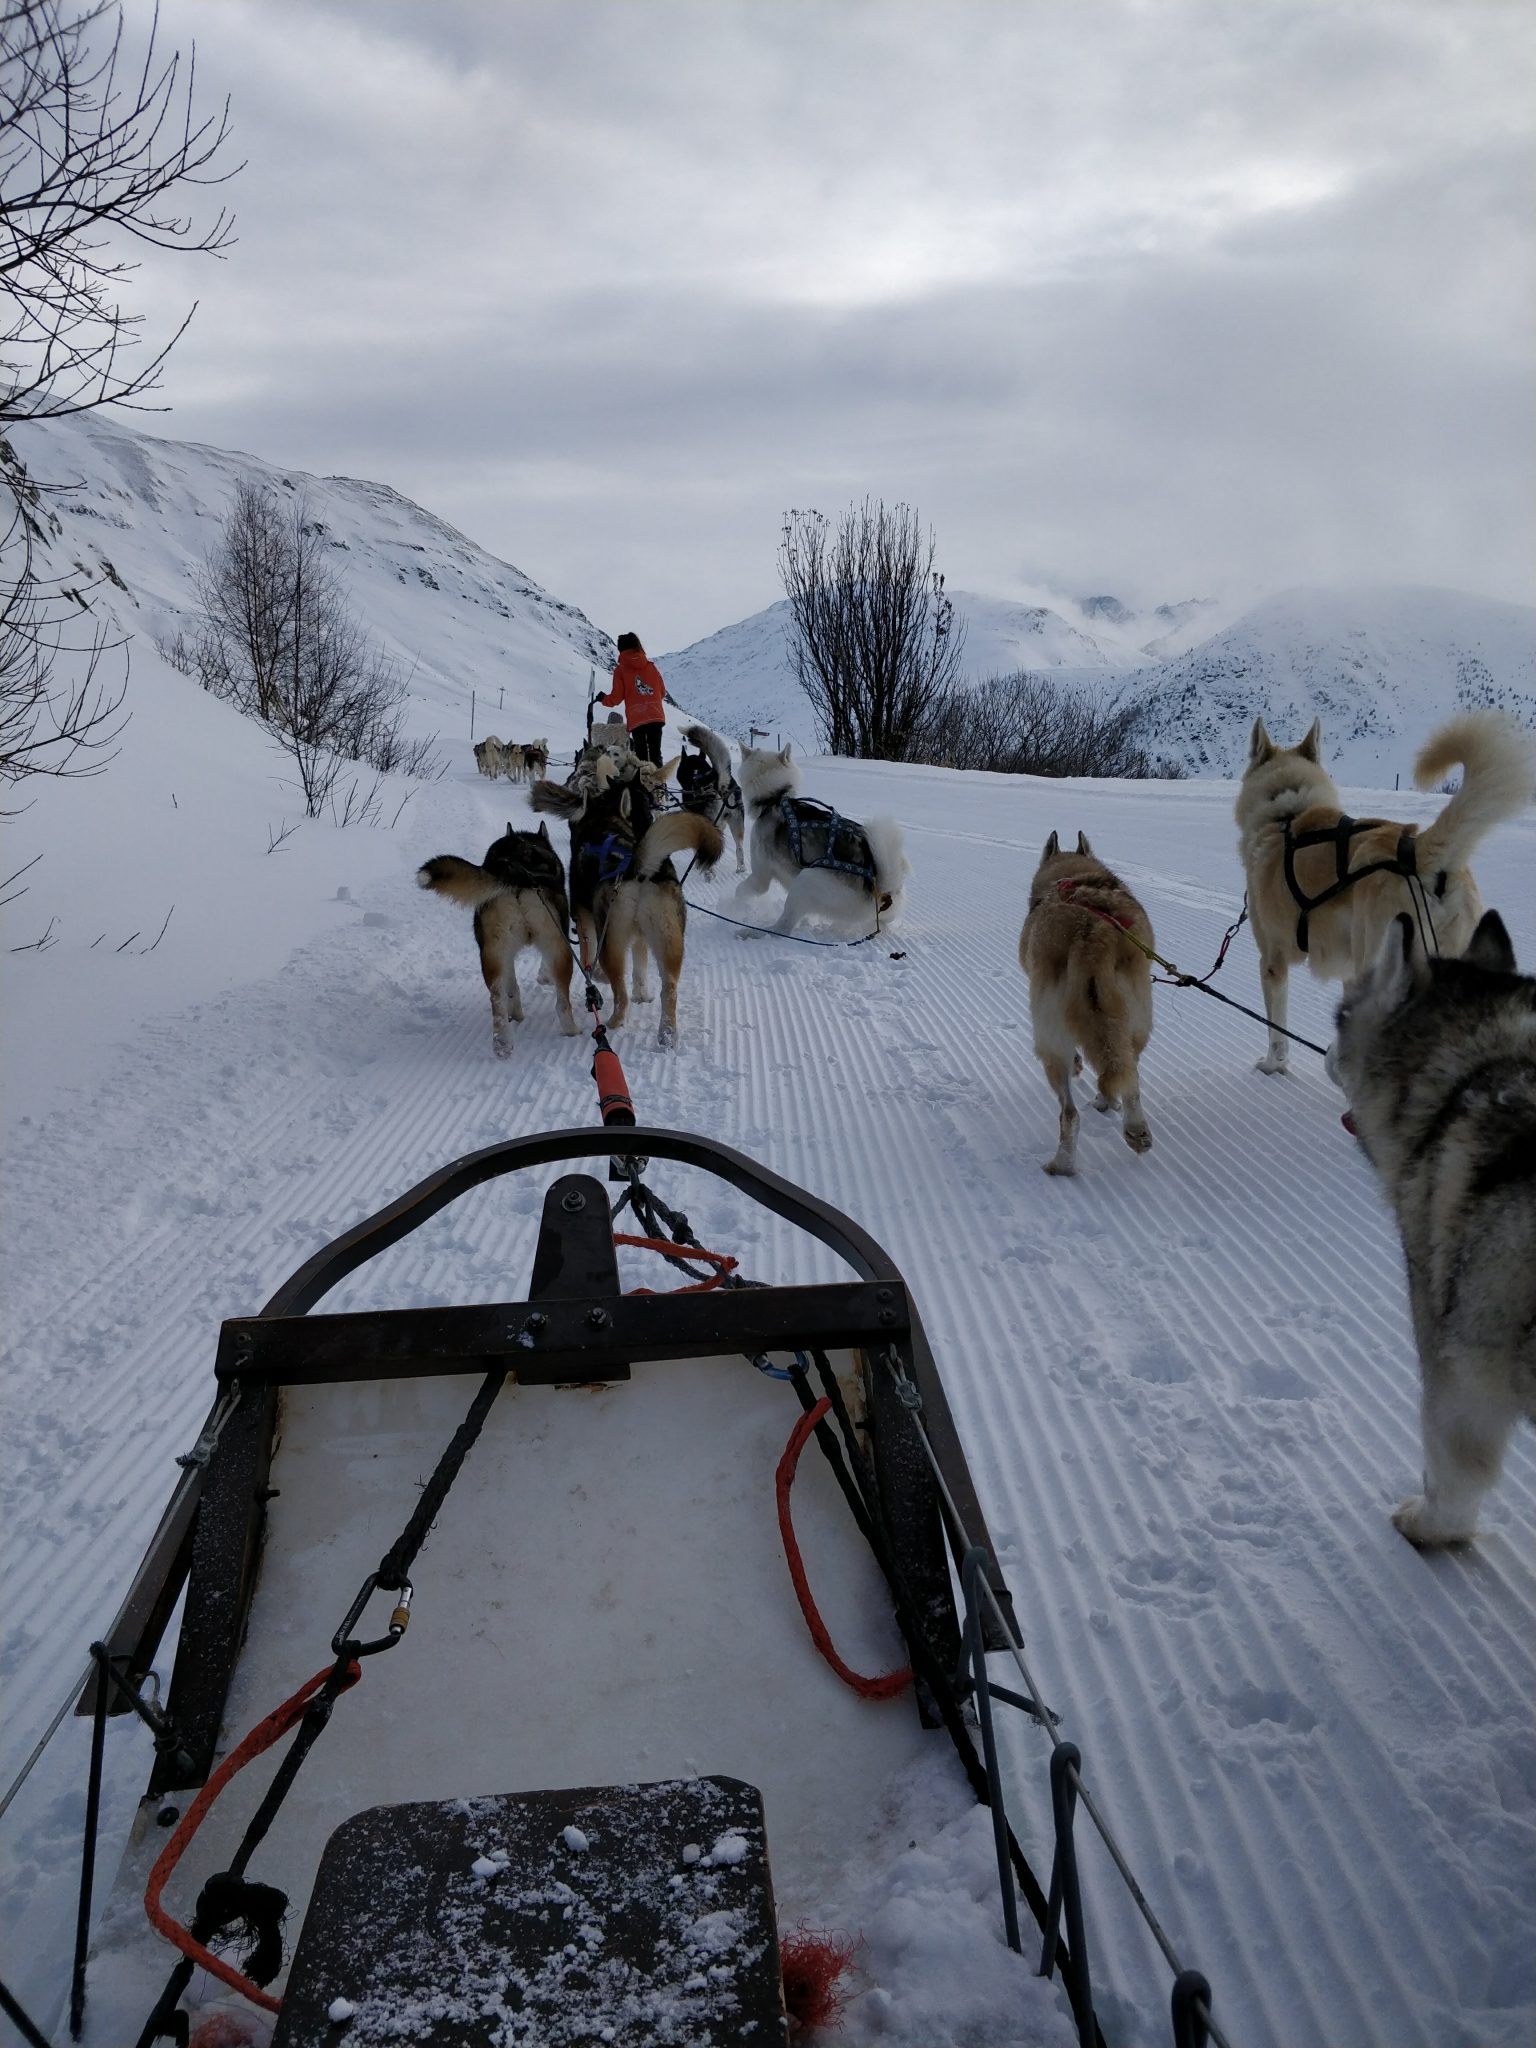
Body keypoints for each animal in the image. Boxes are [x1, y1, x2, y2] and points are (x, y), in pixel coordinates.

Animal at [417, 822, 578, 1057]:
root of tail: (516, 875)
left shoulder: (506, 955)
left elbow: (512, 988)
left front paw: (516, 1015)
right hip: (559, 948)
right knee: (563, 1003)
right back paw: (573, 1031)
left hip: (493, 953)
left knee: (497, 999)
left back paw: (502, 1042)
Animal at [530, 752, 721, 1045]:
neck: (604, 822)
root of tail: (637, 867)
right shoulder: (640, 936)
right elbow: (640, 969)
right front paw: (644, 994)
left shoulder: (584, 918)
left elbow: (588, 955)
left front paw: (595, 976)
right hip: (669, 940)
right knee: (669, 988)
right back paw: (667, 1033)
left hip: (611, 941)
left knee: (621, 993)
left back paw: (613, 1022)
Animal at [678, 724, 746, 873]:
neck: (696, 772)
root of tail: (720, 784)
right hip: (736, 824)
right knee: (739, 848)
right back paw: (740, 868)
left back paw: (709, 871)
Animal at [734, 743, 907, 934]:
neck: (776, 797)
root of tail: (881, 888)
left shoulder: (760, 876)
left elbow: (740, 891)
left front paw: (730, 907)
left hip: (806, 880)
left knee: (783, 927)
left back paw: (750, 932)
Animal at [1019, 832, 1154, 1175]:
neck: (1075, 877)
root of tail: (1093, 935)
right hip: (1136, 1024)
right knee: (1125, 1072)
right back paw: (1132, 1126)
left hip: (1050, 1043)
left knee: (1069, 1113)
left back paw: (1062, 1164)